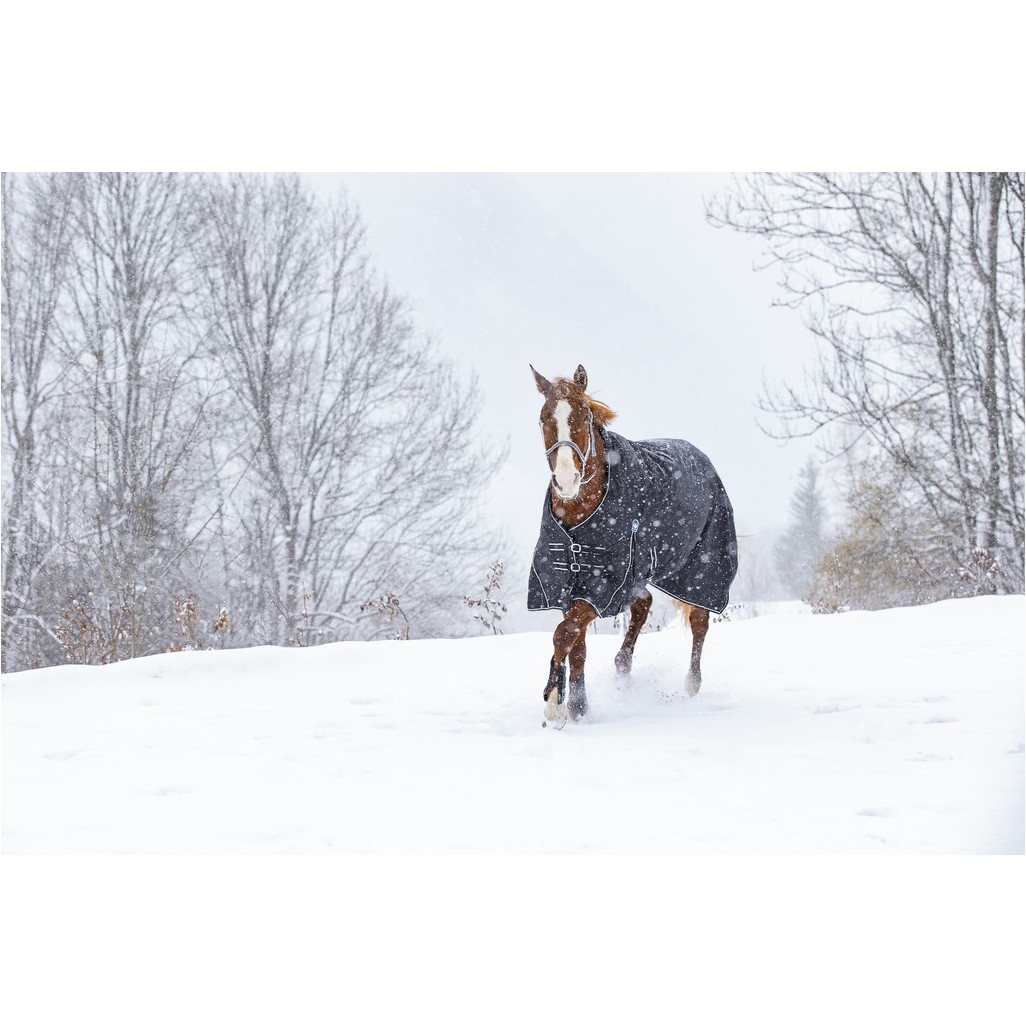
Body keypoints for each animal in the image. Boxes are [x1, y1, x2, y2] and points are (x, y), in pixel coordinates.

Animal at [529, 365, 738, 726]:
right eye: (544, 418)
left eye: (584, 415)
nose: (567, 480)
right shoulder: (572, 582)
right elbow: (577, 644)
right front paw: (578, 707)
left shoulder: (604, 585)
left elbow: (564, 634)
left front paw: (555, 702)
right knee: (643, 606)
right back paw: (622, 673)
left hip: (698, 570)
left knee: (699, 622)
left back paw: (691, 686)